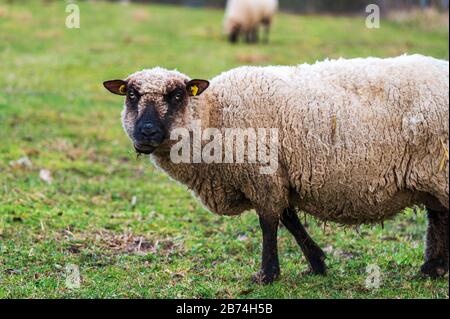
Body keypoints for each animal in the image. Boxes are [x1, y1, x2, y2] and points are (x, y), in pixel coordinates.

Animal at [103, 54, 448, 284]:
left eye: (176, 96)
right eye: (131, 95)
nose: (146, 133)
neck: (215, 115)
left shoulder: (262, 174)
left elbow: (269, 223)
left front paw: (267, 274)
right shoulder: (279, 176)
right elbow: (289, 219)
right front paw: (317, 263)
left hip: (438, 168)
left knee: (440, 215)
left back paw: (433, 268)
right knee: (438, 215)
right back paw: (432, 268)